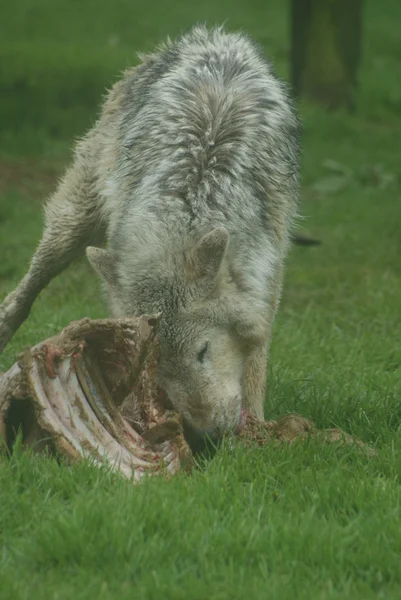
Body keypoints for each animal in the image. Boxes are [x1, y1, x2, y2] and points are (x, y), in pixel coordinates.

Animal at [0, 24, 300, 436]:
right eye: (159, 363)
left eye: (203, 351)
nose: (207, 434)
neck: (193, 199)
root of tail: (211, 36)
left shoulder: (267, 274)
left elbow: (256, 357)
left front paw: (257, 426)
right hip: (73, 226)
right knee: (25, 291)